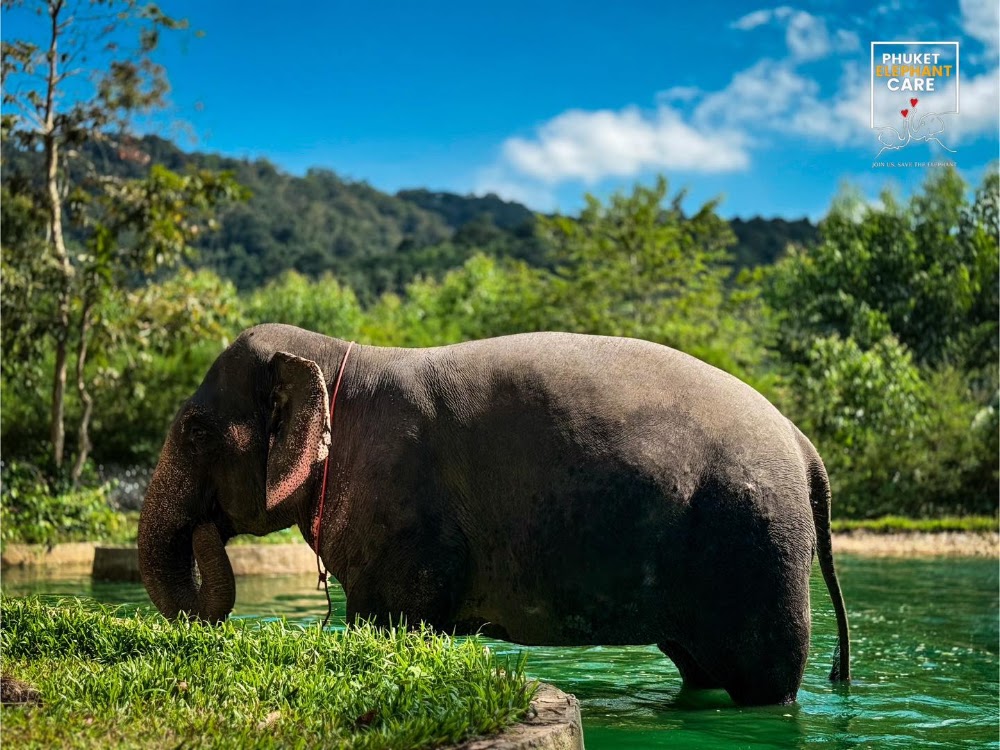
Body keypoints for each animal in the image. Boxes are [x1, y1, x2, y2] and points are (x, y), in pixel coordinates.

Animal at [138, 324, 851, 707]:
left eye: (195, 432)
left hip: (757, 551)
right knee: (699, 670)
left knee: (764, 684)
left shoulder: (401, 515)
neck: (338, 352)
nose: (205, 532)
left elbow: (388, 622)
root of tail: (804, 445)